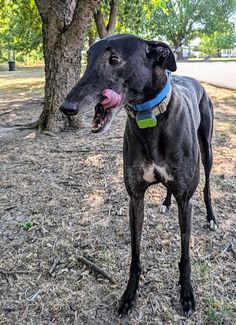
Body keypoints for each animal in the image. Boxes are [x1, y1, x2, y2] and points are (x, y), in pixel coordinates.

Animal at [60, 34, 217, 316]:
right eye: (87, 58)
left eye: (114, 59)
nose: (67, 107)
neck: (151, 119)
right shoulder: (135, 198)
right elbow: (135, 254)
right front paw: (129, 295)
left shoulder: (186, 200)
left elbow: (185, 255)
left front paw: (186, 294)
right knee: (169, 190)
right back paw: (165, 203)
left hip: (207, 149)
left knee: (208, 187)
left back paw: (211, 218)